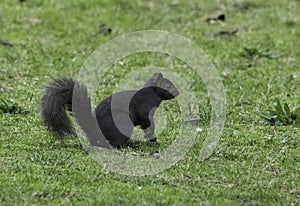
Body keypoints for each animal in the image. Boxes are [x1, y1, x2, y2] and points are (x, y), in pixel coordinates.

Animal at [41, 72, 179, 148]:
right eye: (168, 85)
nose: (178, 92)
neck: (151, 91)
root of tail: (93, 129)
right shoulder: (145, 108)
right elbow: (148, 125)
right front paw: (154, 141)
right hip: (122, 123)